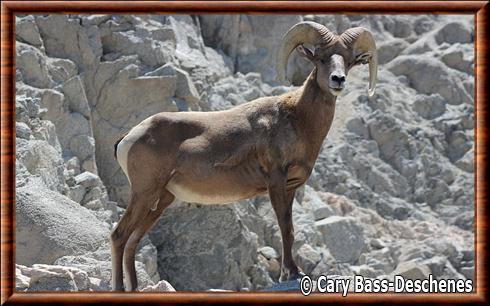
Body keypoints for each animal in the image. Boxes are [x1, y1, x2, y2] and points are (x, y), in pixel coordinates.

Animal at [112, 22, 378, 292]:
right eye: (321, 58)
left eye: (348, 61)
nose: (338, 80)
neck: (298, 121)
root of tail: (129, 137)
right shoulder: (276, 182)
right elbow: (286, 227)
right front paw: (292, 273)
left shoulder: (291, 187)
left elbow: (290, 229)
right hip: (144, 193)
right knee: (119, 235)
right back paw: (119, 288)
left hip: (160, 200)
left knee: (133, 240)